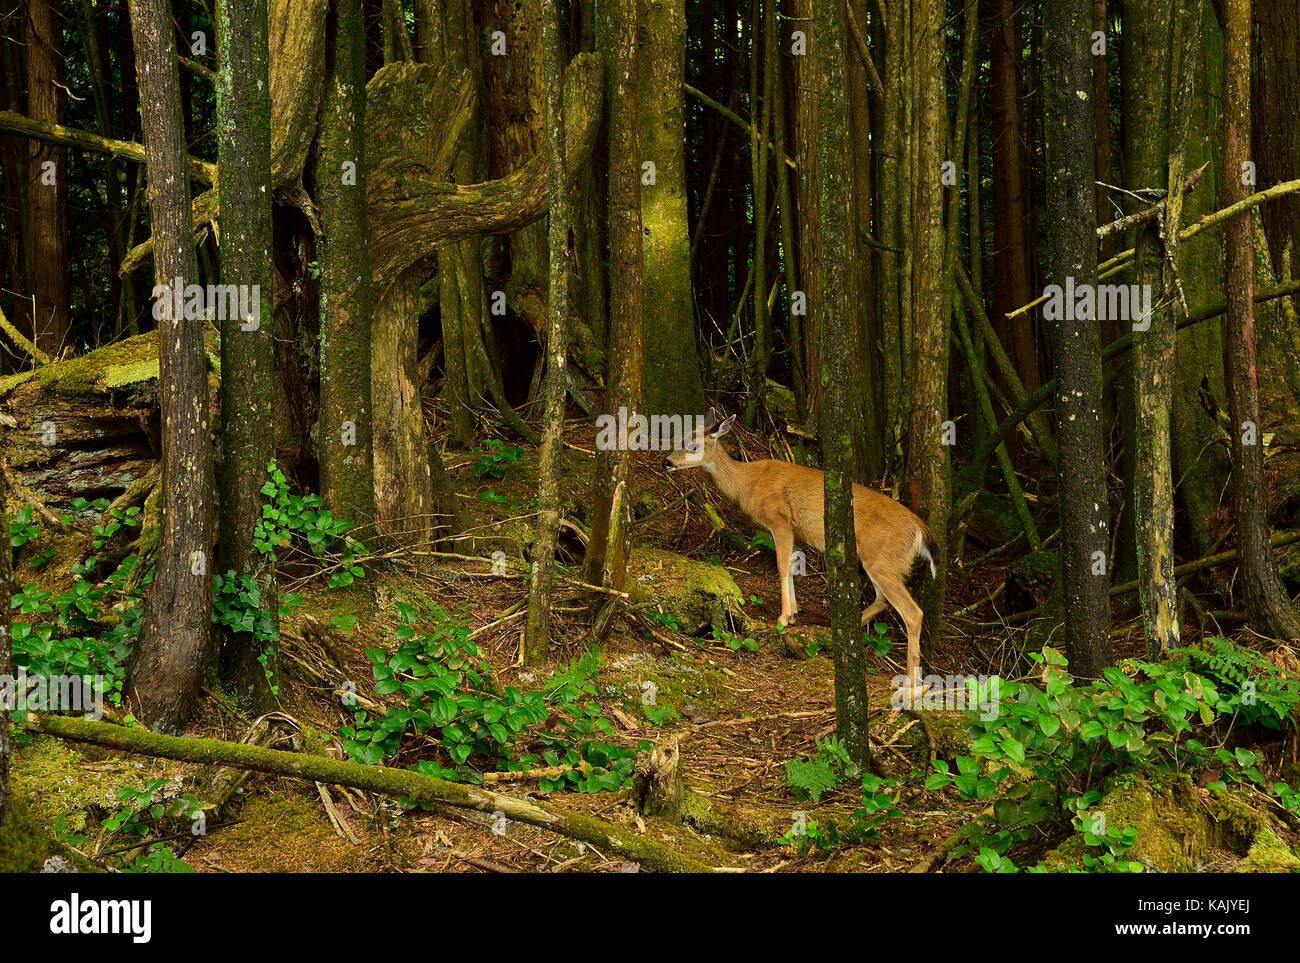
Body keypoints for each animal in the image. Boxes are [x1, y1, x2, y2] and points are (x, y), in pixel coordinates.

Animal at [670, 410, 935, 686]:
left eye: (694, 445)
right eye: (679, 437)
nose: (667, 461)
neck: (748, 482)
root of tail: (919, 530)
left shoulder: (780, 519)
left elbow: (782, 566)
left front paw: (783, 618)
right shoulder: (794, 530)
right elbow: (792, 567)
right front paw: (794, 613)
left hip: (883, 558)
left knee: (912, 612)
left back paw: (913, 683)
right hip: (880, 560)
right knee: (883, 599)